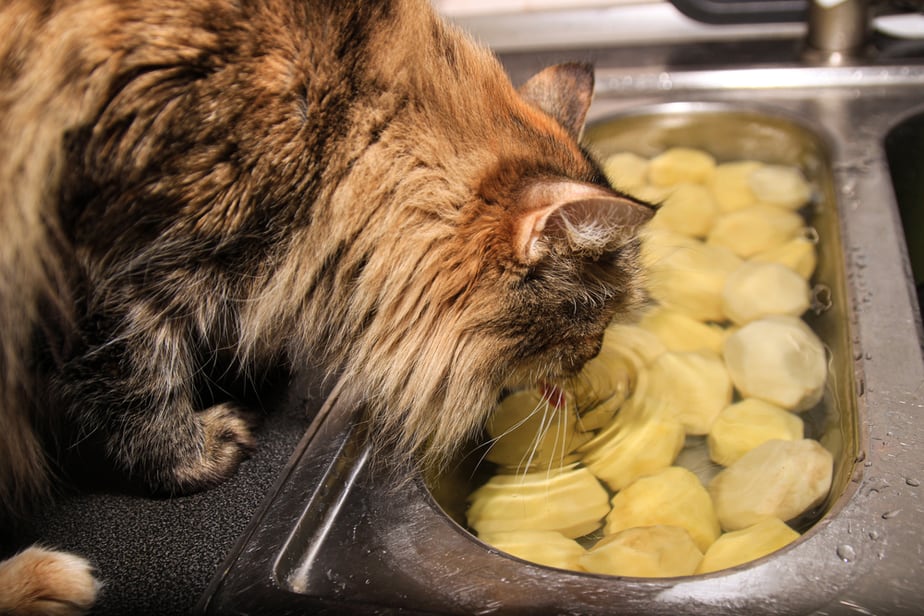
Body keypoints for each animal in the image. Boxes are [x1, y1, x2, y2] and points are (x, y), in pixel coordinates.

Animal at [0, 0, 652, 608]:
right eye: (587, 315)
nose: (594, 356)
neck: (333, 138)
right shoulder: (104, 287)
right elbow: (140, 386)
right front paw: (196, 454)